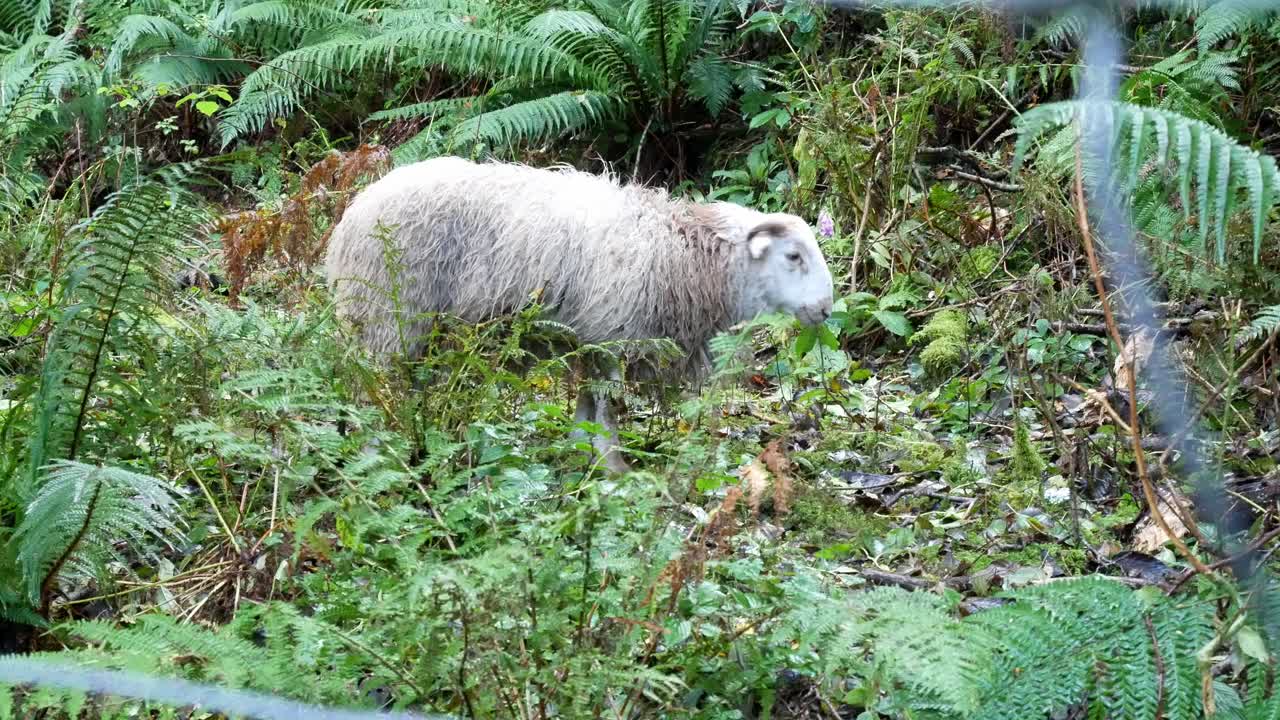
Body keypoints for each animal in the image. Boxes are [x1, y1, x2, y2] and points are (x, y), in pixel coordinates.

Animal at [323, 156, 835, 472]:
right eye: (793, 256)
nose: (826, 309)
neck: (683, 256)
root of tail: (355, 210)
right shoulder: (614, 333)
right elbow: (607, 406)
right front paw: (613, 465)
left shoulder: (593, 336)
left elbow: (588, 402)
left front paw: (581, 450)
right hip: (389, 317)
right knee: (375, 393)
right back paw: (377, 453)